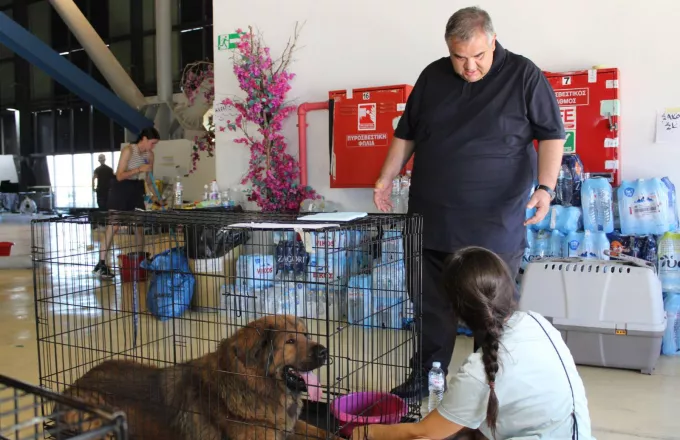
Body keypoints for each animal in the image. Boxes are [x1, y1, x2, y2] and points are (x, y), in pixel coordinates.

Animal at [57, 314, 338, 438]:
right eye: (290, 341)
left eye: (306, 334)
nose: (325, 351)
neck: (252, 385)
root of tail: (71, 386)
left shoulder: (288, 426)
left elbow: (321, 431)